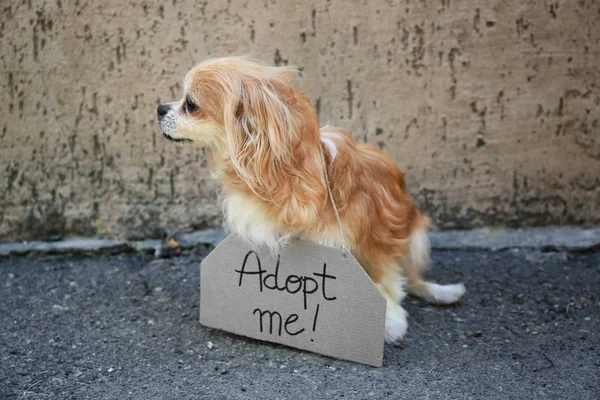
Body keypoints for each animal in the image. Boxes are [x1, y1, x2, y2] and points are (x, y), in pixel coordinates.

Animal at [157, 57, 466, 344]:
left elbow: (384, 280)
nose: (159, 108)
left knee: (410, 278)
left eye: (190, 104)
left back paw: (440, 292)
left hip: (414, 235)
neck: (282, 175)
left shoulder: (374, 238)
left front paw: (390, 321)